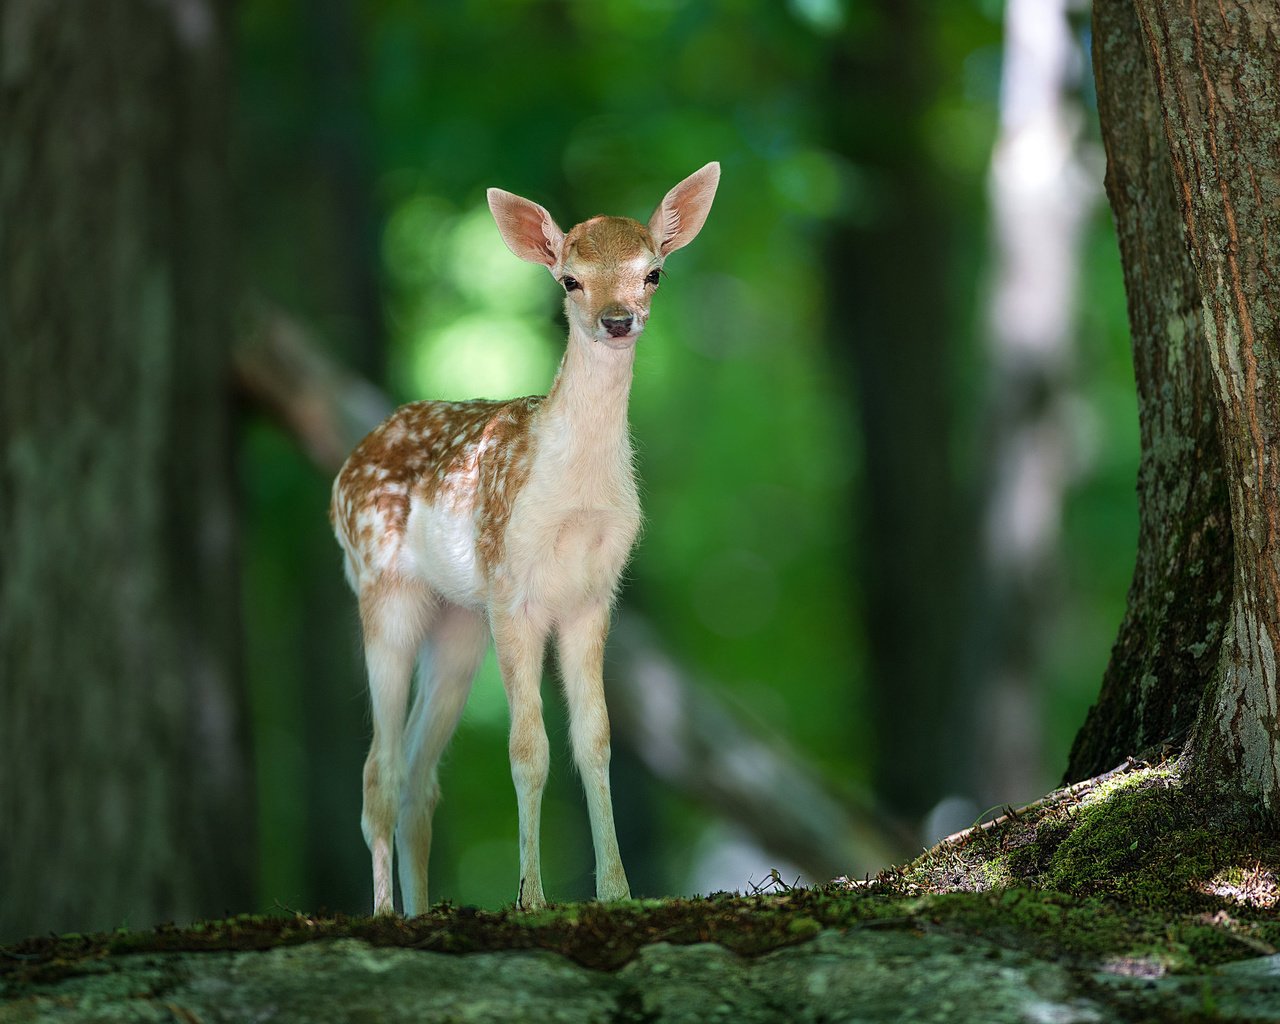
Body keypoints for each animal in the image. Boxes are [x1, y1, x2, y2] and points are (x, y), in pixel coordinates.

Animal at [330, 163, 721, 916]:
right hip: (384, 588)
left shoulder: (593, 597)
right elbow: (528, 748)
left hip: (459, 621)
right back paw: (386, 912)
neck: (573, 496)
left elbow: (594, 742)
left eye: (653, 272)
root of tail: (344, 470)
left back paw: (421, 908)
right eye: (569, 279)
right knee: (376, 769)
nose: (617, 320)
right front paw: (532, 898)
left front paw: (617, 892)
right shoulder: (513, 590)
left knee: (419, 775)